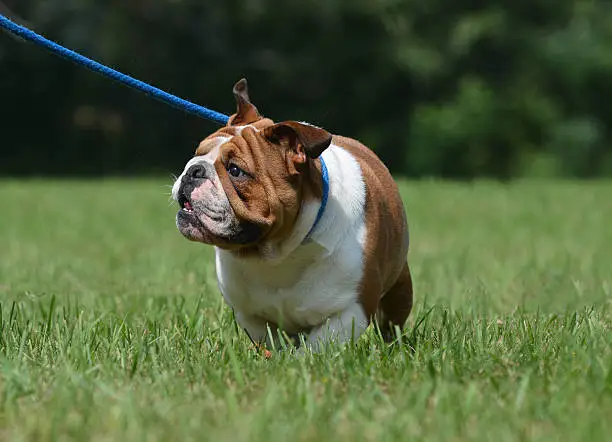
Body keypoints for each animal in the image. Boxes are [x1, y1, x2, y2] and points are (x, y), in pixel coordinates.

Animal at [170, 77, 414, 350]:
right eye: (198, 153)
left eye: (235, 170)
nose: (194, 170)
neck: (277, 251)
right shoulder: (251, 315)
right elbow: (270, 342)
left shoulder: (350, 312)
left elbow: (316, 347)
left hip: (398, 290)